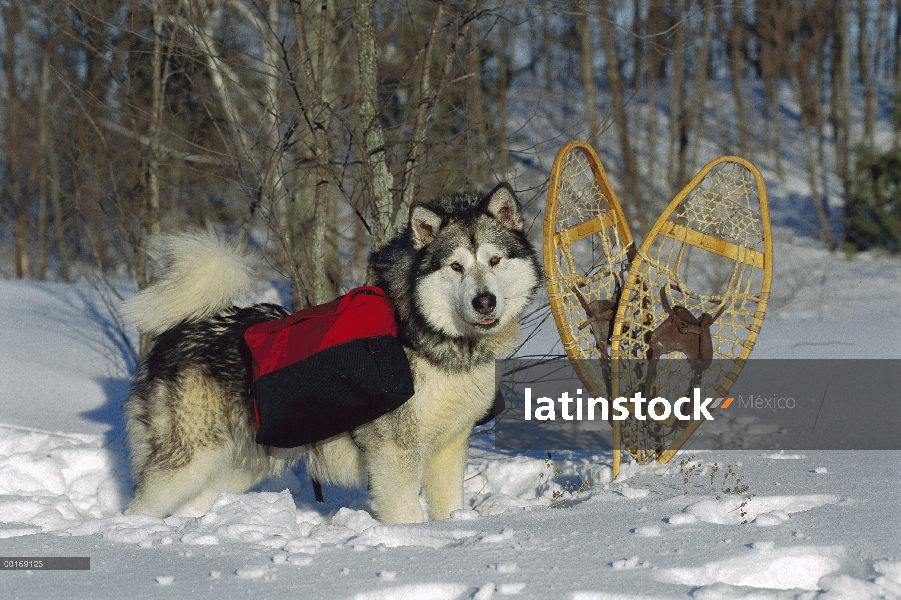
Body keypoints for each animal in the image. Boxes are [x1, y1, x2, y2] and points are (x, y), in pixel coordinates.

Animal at [122, 184, 536, 524]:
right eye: (456, 266)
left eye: (495, 260)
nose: (485, 302)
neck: (428, 337)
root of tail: (183, 328)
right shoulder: (393, 455)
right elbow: (406, 514)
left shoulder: (449, 446)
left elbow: (449, 507)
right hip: (187, 462)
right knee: (138, 507)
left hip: (238, 464)